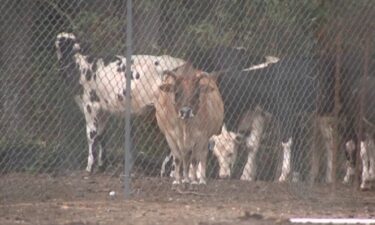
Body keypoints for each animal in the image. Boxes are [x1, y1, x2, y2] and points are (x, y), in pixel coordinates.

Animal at [54, 32, 187, 172]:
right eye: (58, 45)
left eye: (69, 45)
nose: (62, 63)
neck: (81, 67)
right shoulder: (103, 110)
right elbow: (101, 135)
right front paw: (101, 165)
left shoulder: (90, 106)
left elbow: (91, 136)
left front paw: (89, 168)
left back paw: (170, 170)